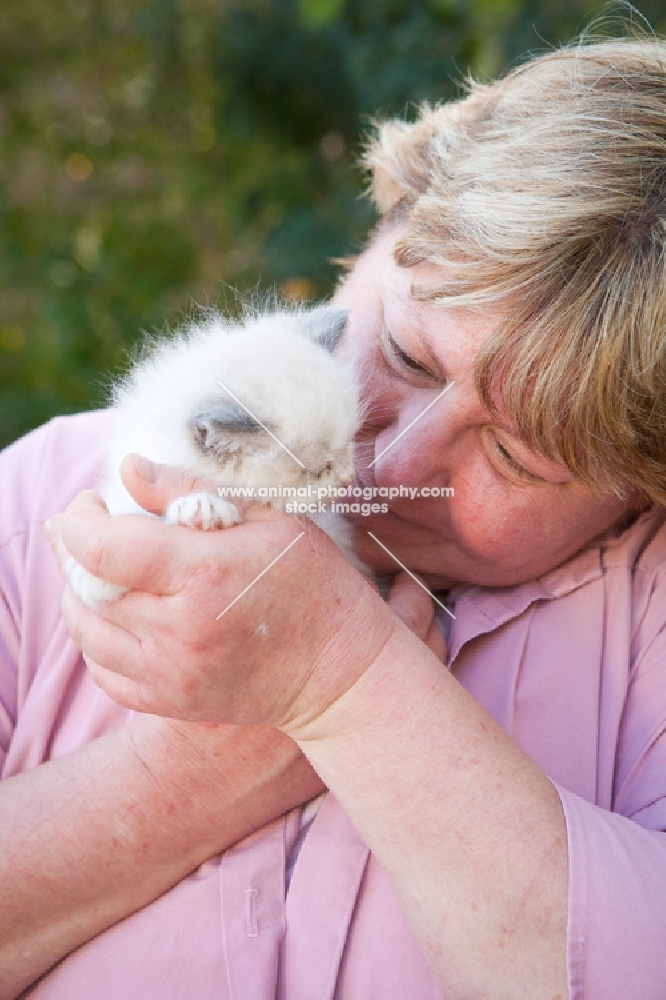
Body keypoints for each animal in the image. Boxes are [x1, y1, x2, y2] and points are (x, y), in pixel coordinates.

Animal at [65, 300, 364, 604]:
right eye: (316, 471)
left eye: (348, 445)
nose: (348, 478)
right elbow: (128, 512)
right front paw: (92, 577)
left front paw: (202, 508)